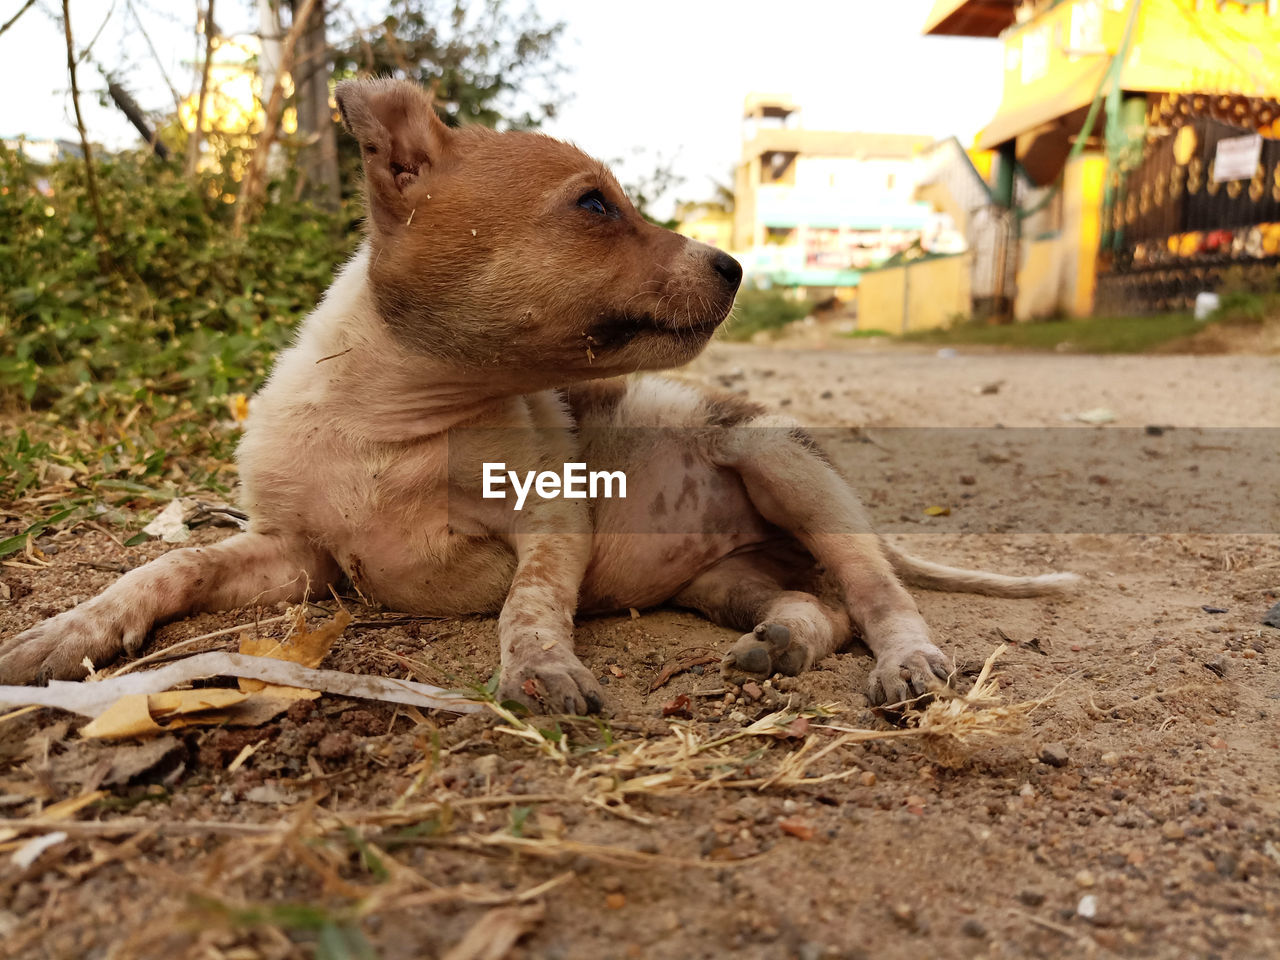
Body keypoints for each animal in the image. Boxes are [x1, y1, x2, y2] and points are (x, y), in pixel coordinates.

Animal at [0, 79, 1080, 716]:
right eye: (594, 204)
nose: (735, 265)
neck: (395, 425)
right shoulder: (295, 552)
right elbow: (165, 570)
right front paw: (65, 633)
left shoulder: (551, 526)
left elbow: (530, 600)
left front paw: (539, 669)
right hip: (720, 577)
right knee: (819, 607)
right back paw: (784, 640)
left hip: (784, 468)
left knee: (878, 593)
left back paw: (907, 661)